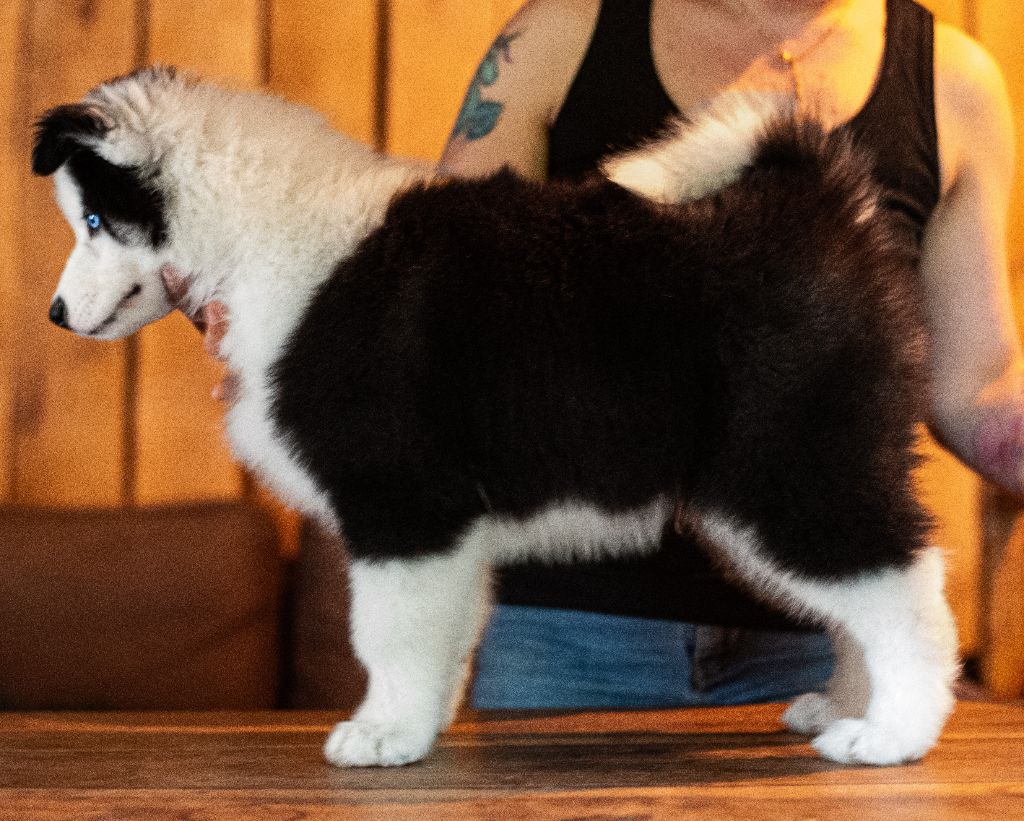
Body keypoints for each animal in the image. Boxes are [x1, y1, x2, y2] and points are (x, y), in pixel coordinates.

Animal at [34, 67, 958, 767]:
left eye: (93, 220)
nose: (54, 315)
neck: (257, 234)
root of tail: (814, 205)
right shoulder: (448, 526)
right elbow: (442, 631)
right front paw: (418, 724)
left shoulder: (405, 504)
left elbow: (387, 629)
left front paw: (381, 734)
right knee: (863, 592)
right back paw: (846, 704)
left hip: (789, 464)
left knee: (901, 588)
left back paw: (892, 732)